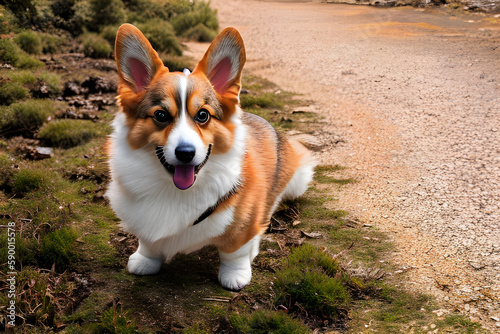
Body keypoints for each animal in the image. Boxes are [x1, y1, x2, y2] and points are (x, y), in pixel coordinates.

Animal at [107, 24, 314, 290]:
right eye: (161, 115)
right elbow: (148, 241)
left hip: (297, 180)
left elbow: (235, 250)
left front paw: (235, 275)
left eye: (203, 115)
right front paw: (145, 259)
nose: (186, 153)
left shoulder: (243, 222)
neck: (175, 191)